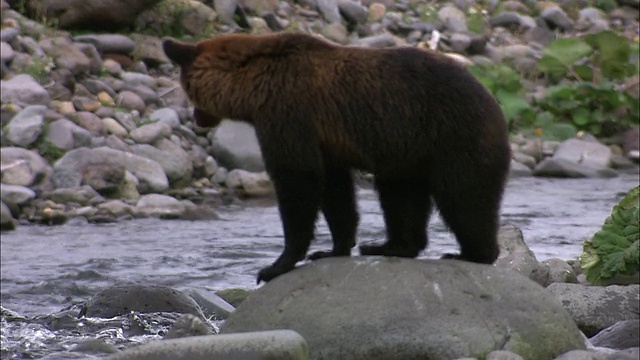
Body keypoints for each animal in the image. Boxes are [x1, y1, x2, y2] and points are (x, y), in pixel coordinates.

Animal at [164, 31, 510, 284]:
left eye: (186, 89)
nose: (197, 118)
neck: (254, 88)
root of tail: (495, 103)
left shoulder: (288, 114)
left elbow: (297, 179)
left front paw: (275, 265)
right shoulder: (325, 142)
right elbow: (335, 191)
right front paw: (333, 249)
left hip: (452, 137)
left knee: (464, 196)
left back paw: (471, 253)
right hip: (408, 154)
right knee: (400, 196)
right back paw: (388, 245)